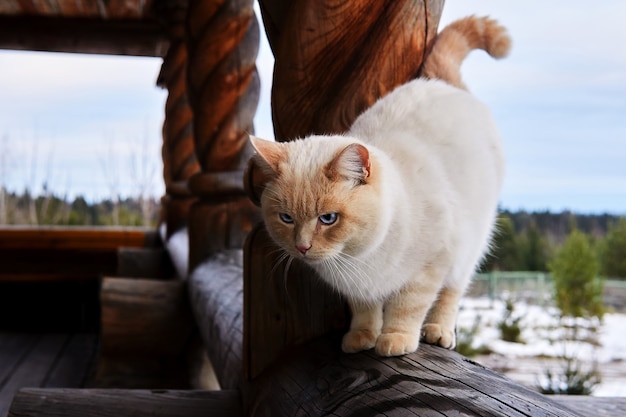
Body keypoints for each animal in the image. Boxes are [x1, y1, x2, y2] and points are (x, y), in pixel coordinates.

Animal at [246, 15, 510, 354]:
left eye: (328, 218)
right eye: (286, 218)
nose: (302, 247)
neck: (360, 257)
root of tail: (441, 84)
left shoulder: (429, 266)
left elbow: (407, 307)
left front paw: (395, 339)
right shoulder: (357, 287)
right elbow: (364, 309)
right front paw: (362, 338)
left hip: (469, 247)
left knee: (452, 293)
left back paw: (438, 332)